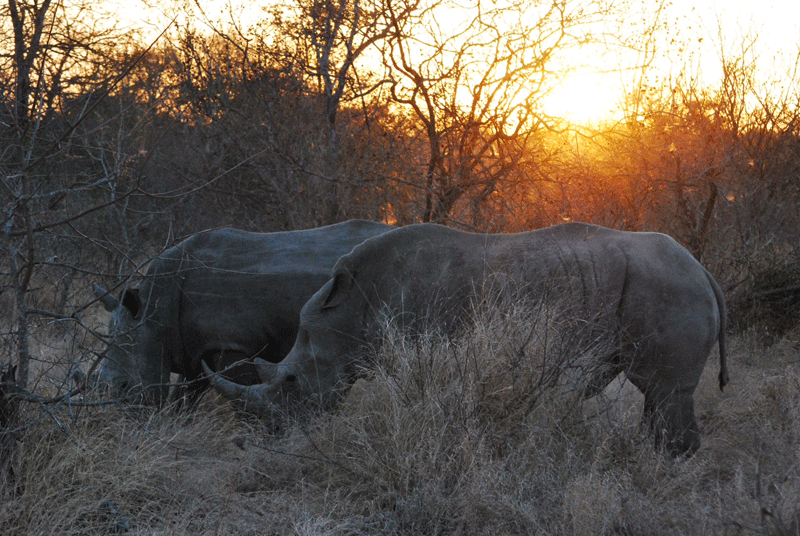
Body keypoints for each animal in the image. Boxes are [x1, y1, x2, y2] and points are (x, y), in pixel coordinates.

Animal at [207, 222, 729, 455]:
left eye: (291, 381)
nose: (262, 438)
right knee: (658, 396)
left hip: (669, 287)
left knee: (665, 391)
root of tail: (703, 269)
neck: (349, 309)